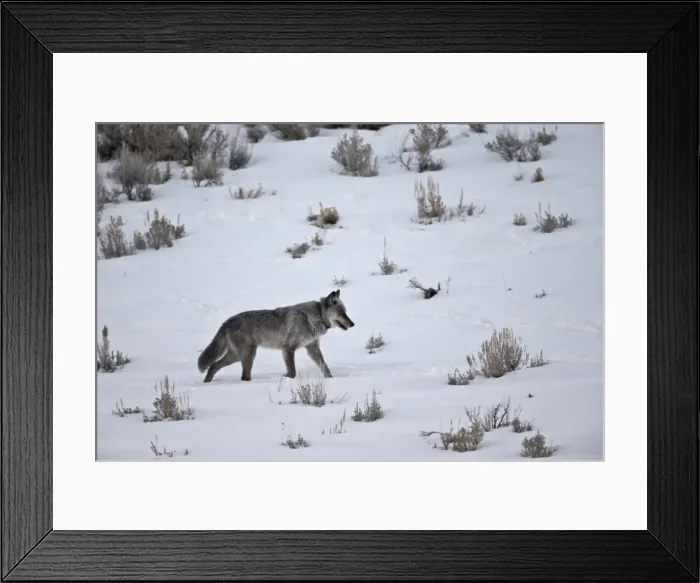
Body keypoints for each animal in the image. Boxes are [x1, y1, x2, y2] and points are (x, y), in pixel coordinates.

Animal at [197, 290, 354, 383]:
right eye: (341, 313)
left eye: (345, 312)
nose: (353, 324)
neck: (315, 316)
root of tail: (226, 322)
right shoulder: (288, 348)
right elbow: (292, 372)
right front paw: (285, 378)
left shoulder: (312, 348)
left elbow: (325, 367)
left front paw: (331, 379)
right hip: (246, 355)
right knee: (241, 375)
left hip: (237, 356)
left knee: (215, 366)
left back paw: (207, 382)